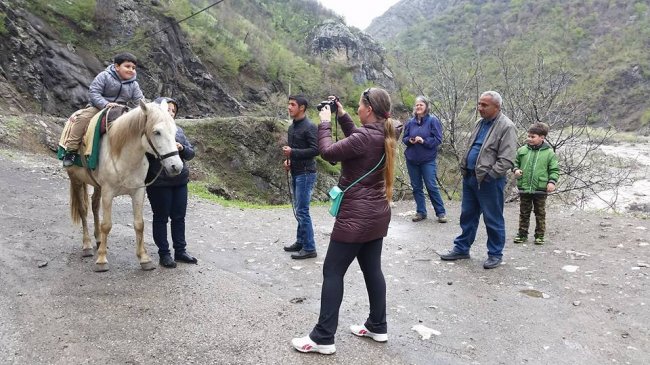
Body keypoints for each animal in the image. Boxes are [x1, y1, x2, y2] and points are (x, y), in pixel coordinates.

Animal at [67, 99, 182, 270]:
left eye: (174, 131)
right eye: (157, 132)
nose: (176, 166)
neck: (124, 156)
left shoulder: (138, 191)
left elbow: (139, 224)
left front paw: (144, 259)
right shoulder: (108, 192)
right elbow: (107, 225)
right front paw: (102, 260)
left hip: (97, 186)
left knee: (94, 206)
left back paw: (98, 240)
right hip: (76, 179)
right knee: (83, 210)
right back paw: (87, 245)